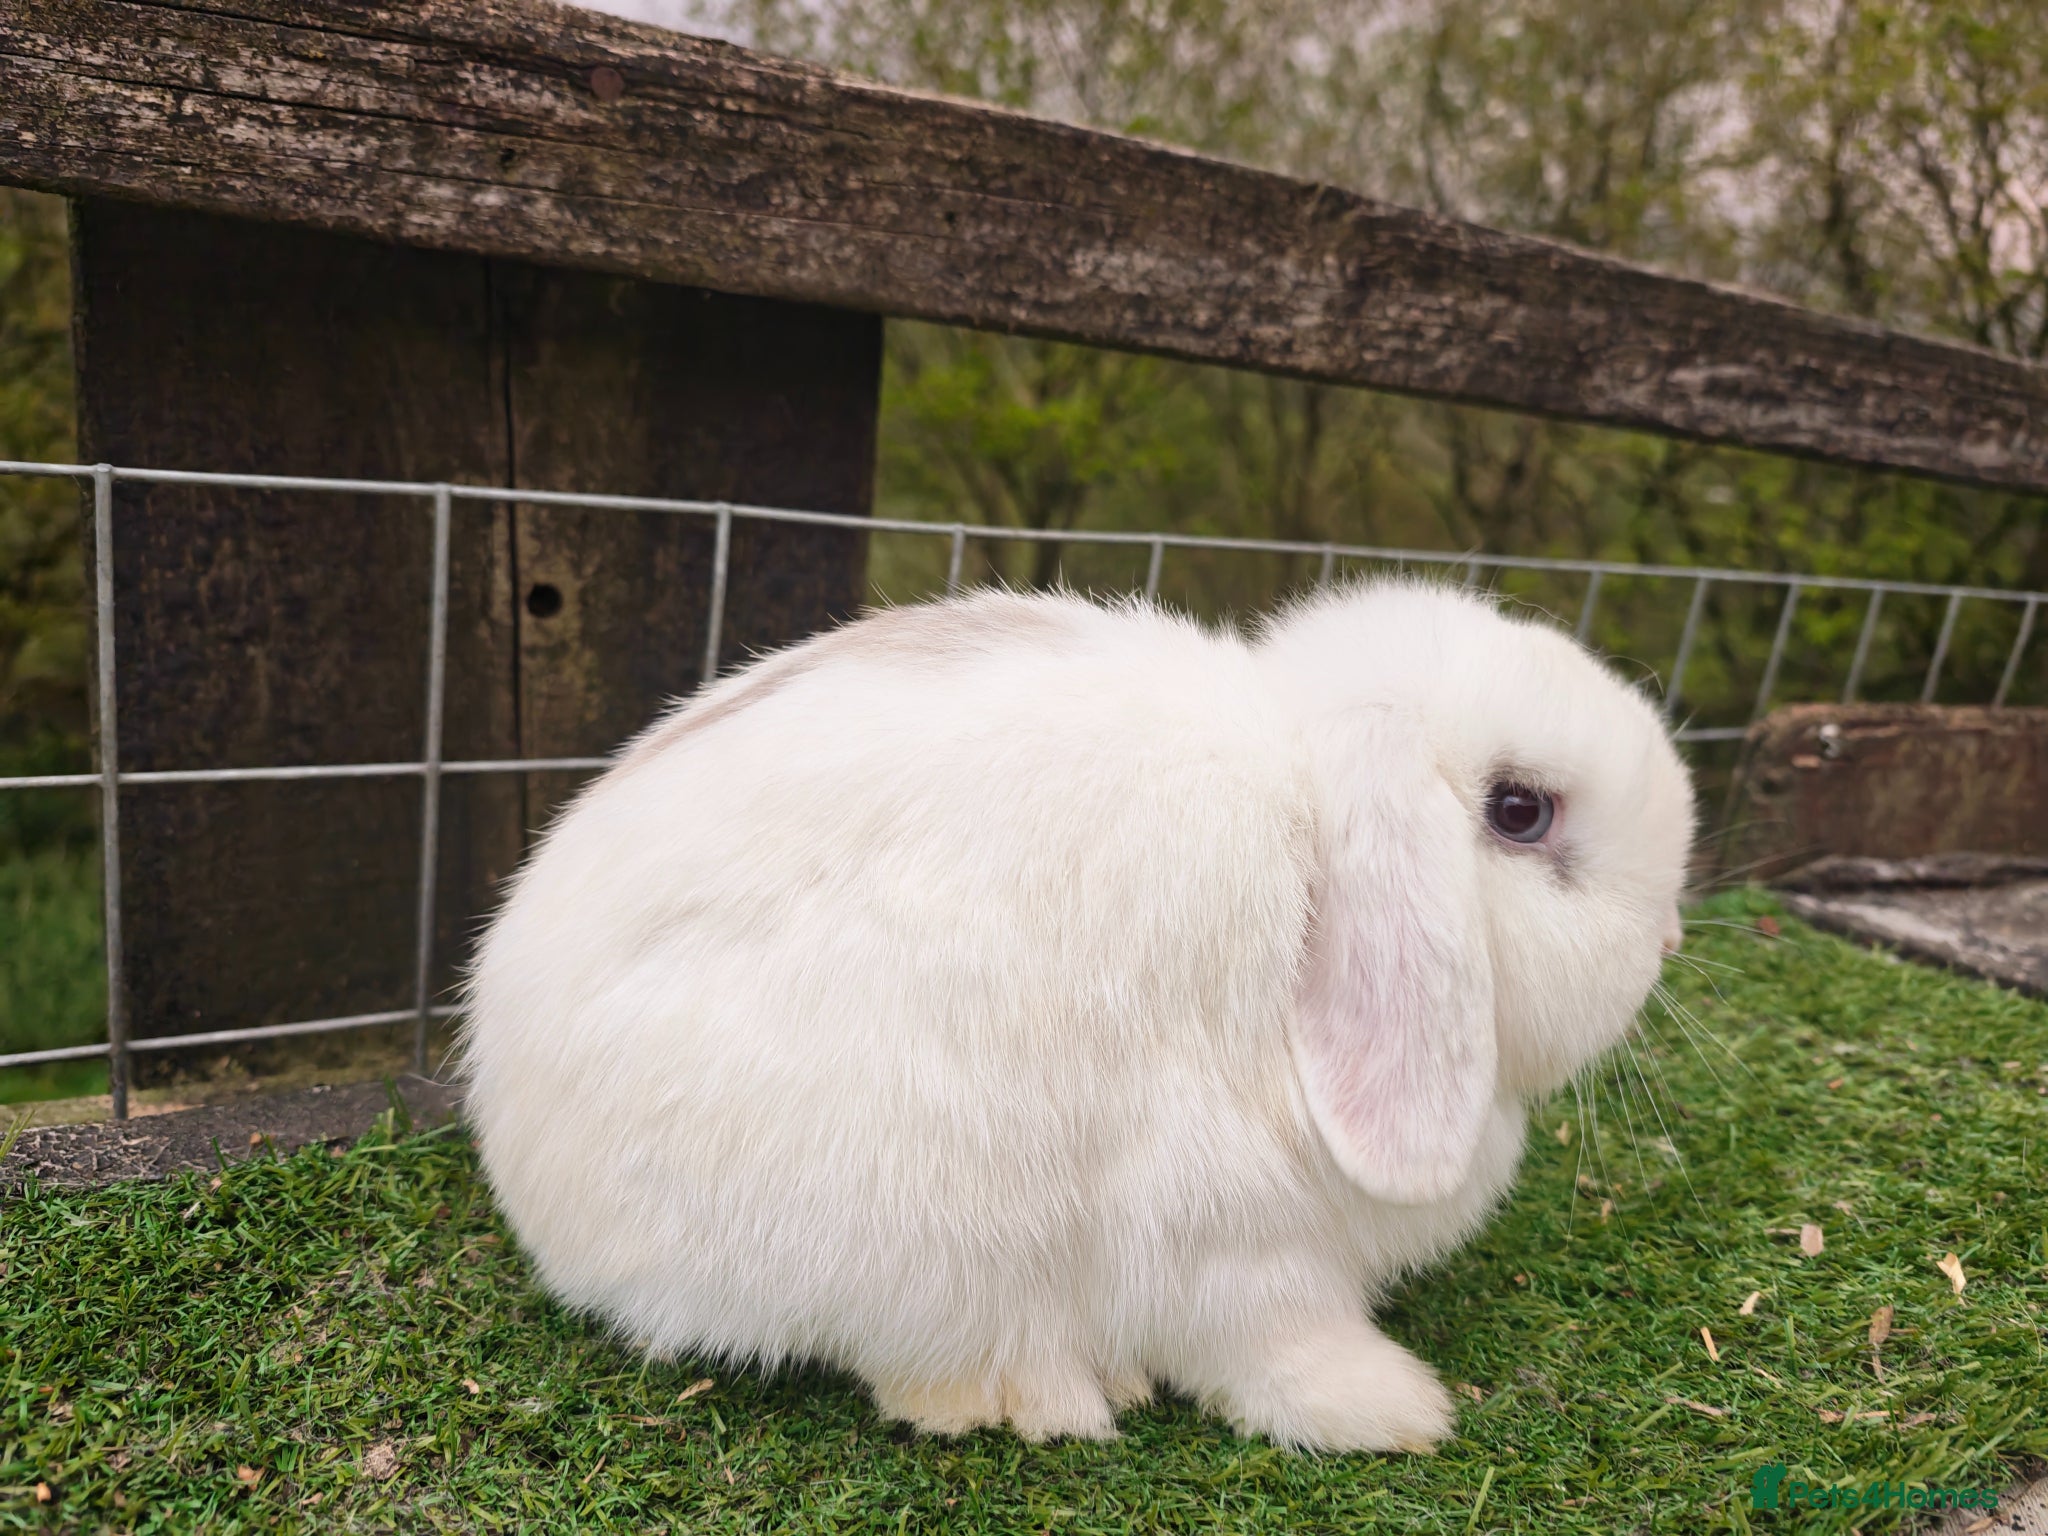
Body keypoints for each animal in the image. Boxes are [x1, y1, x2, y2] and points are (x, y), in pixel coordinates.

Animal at [460, 578, 1695, 1453]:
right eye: (1519, 811)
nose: (1671, 939)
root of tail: (531, 1192)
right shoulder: (1231, 1221)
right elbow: (1272, 1337)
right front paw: (1389, 1411)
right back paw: (1034, 1391)